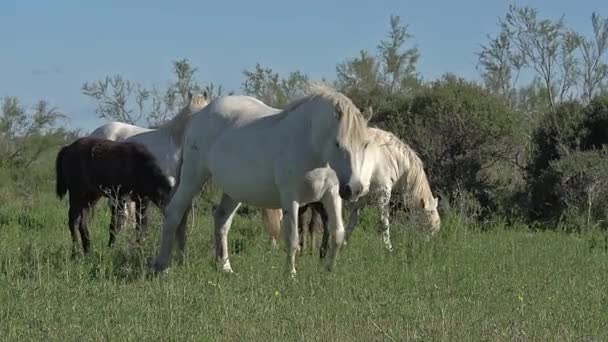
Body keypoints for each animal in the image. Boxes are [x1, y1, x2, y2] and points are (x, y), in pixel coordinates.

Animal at [152, 83, 376, 278]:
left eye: (365, 144)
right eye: (338, 143)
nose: (354, 189)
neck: (310, 144)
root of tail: (199, 115)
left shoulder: (332, 194)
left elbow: (338, 233)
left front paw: (328, 271)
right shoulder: (291, 198)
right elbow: (292, 238)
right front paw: (290, 275)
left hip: (235, 190)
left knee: (222, 221)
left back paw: (225, 268)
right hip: (193, 176)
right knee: (174, 213)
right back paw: (162, 267)